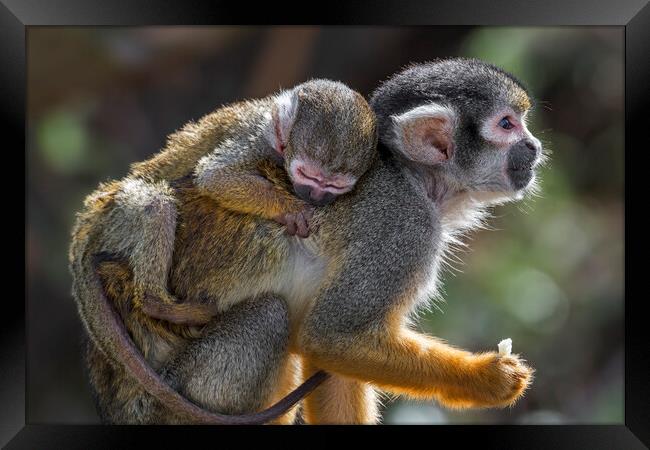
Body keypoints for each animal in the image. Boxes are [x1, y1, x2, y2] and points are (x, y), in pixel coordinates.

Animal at [90, 80, 378, 326]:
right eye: (308, 176)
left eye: (334, 186)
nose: (315, 197)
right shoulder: (257, 139)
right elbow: (214, 176)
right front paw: (292, 210)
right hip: (121, 216)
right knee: (158, 206)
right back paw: (158, 304)